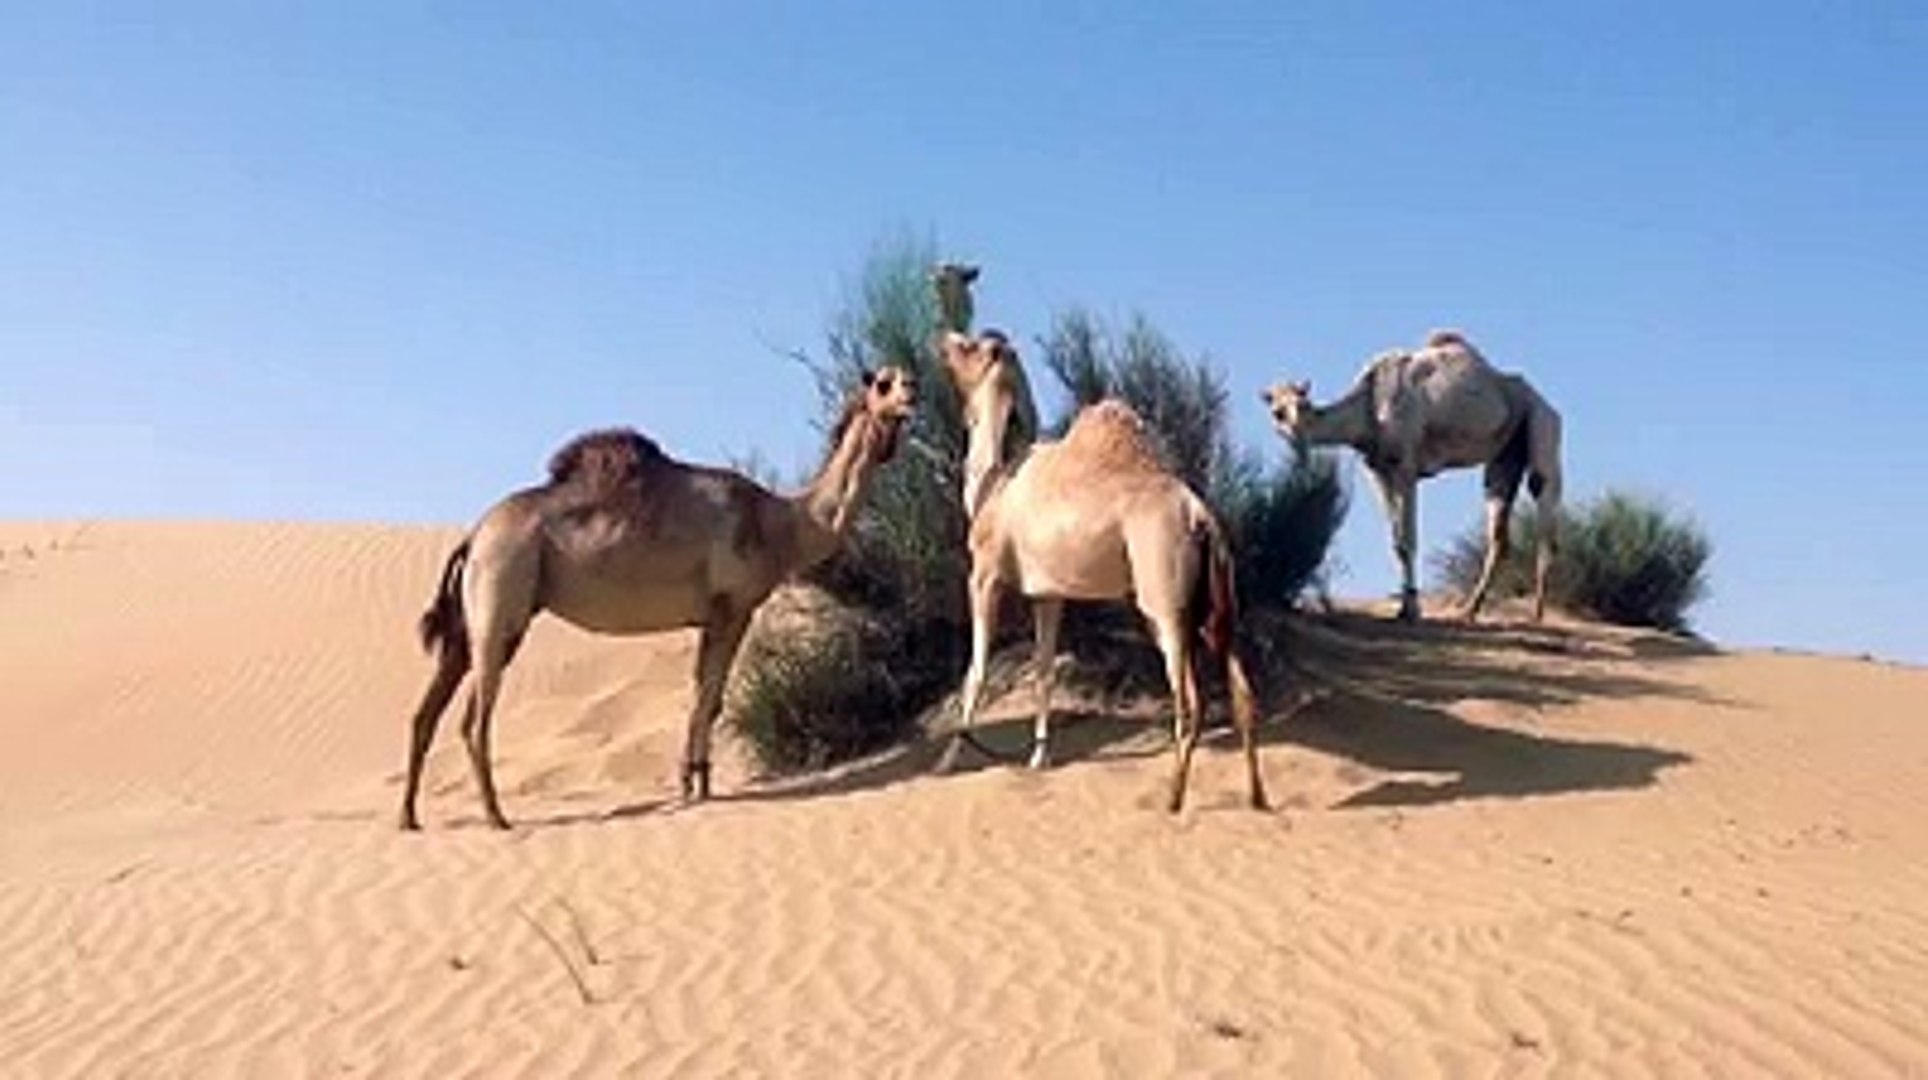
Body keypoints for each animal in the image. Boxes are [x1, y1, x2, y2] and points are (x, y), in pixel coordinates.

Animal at [398, 366, 918, 830]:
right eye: (882, 383)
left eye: (901, 376)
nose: (912, 389)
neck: (784, 524)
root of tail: (473, 536)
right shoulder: (734, 606)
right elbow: (711, 697)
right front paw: (700, 786)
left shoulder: (711, 615)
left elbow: (703, 692)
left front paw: (692, 782)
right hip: (502, 598)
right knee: (474, 718)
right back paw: (495, 817)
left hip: (469, 626)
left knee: (426, 712)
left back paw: (410, 818)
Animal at [936, 329, 1269, 813]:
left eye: (971, 348)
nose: (943, 340)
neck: (995, 480)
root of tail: (1201, 516)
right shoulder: (1048, 593)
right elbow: (1043, 669)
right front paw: (1039, 758)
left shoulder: (984, 576)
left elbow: (975, 671)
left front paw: (948, 759)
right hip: (1215, 606)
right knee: (1242, 692)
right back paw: (1257, 797)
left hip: (1163, 600)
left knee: (1189, 701)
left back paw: (1173, 798)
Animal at [1263, 329, 1563, 623]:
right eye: (1277, 413)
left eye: (1304, 405)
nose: (1298, 438)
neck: (1370, 407)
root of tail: (1546, 402)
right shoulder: (1379, 473)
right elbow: (1396, 541)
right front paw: (1402, 607)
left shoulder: (1406, 467)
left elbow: (1408, 539)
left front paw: (1411, 610)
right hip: (1505, 455)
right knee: (1499, 531)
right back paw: (1470, 609)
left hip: (1541, 423)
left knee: (1544, 508)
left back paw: (1537, 613)